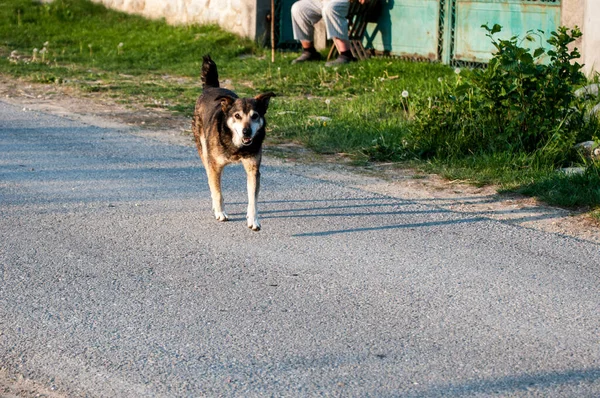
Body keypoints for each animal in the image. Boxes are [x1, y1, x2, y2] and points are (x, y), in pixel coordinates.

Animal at [191, 54, 276, 232]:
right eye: (237, 116)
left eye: (255, 116)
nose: (246, 132)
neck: (236, 145)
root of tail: (210, 88)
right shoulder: (215, 166)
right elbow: (217, 192)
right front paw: (220, 212)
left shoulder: (253, 169)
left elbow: (253, 199)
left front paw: (253, 220)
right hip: (203, 150)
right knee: (210, 180)